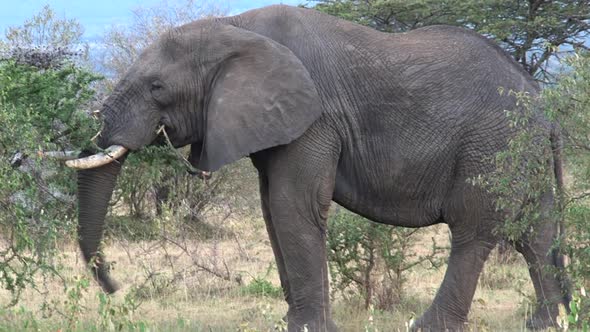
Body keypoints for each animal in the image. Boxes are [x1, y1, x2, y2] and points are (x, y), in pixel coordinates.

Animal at [67, 3, 572, 330]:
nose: (115, 288)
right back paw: (546, 322)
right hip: (520, 149)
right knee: (537, 231)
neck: (233, 26)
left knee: (474, 230)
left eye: (156, 87)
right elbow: (273, 210)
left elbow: (294, 206)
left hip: (491, 144)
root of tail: (544, 106)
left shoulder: (316, 120)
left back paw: (427, 325)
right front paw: (292, 321)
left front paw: (309, 328)